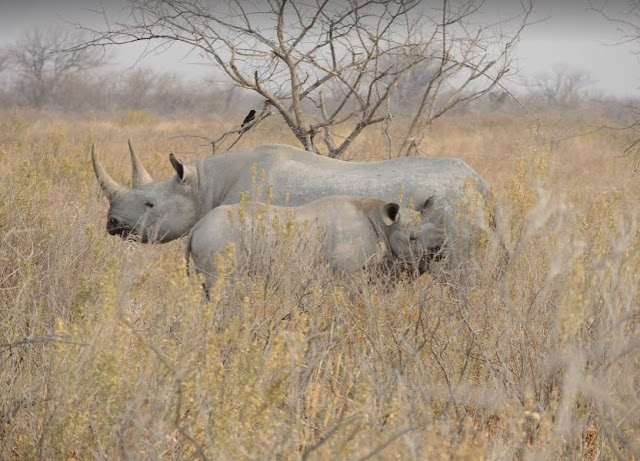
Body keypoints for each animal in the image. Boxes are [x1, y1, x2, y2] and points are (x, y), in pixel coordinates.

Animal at [185, 194, 440, 294]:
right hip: (216, 238)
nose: (437, 253)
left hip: (212, 236)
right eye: (412, 239)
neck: (385, 225)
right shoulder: (349, 274)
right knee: (220, 286)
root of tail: (196, 227)